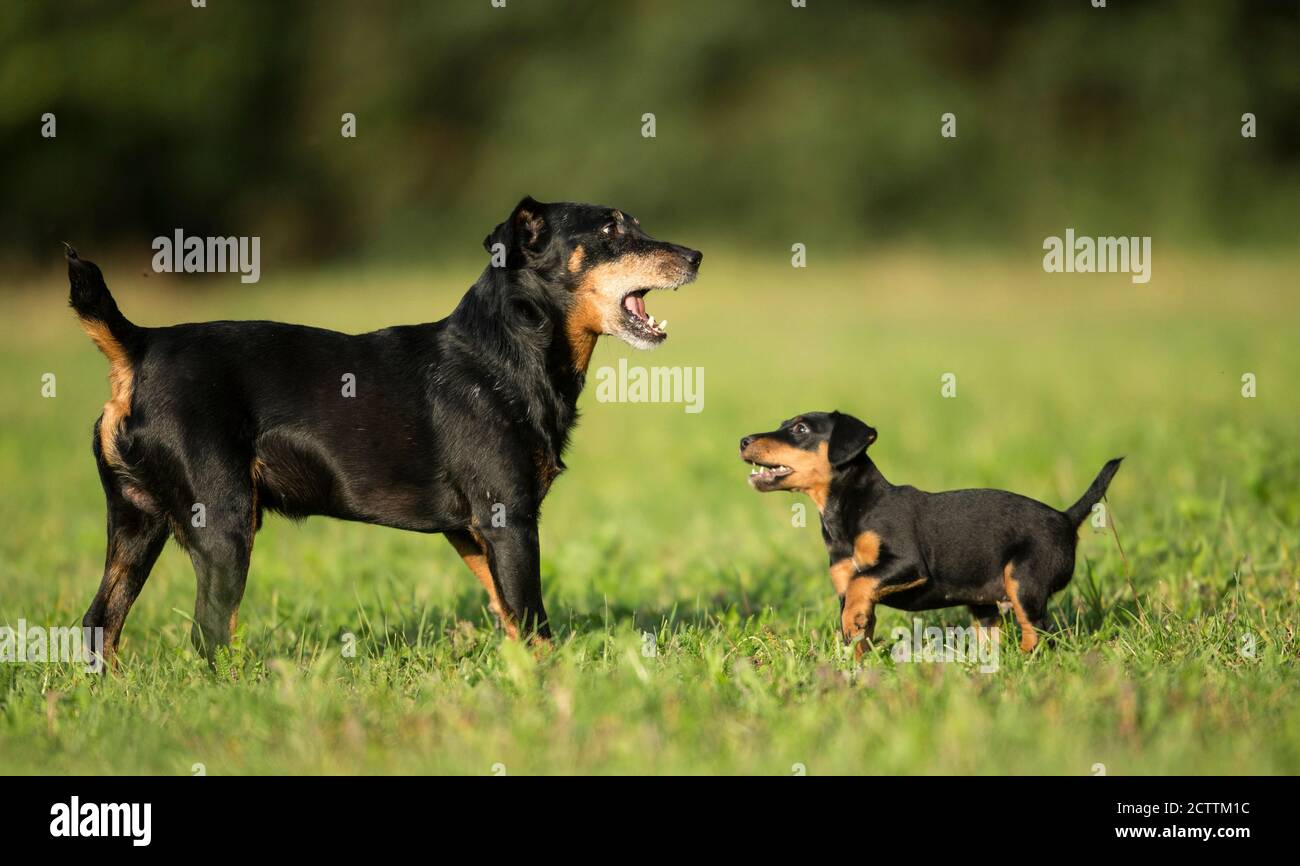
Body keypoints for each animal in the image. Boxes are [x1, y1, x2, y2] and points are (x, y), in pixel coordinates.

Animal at [68, 195, 702, 657]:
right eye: (612, 231)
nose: (696, 256)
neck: (506, 349)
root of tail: (139, 346)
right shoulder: (509, 522)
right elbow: (532, 620)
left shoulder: (472, 534)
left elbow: (507, 614)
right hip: (224, 524)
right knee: (208, 632)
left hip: (136, 523)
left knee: (100, 623)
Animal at [738, 410, 1123, 655]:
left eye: (800, 429)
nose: (743, 440)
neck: (848, 508)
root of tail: (1065, 518)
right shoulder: (846, 583)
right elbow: (858, 627)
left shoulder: (907, 563)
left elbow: (863, 582)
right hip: (985, 603)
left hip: (1024, 581)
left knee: (1039, 633)